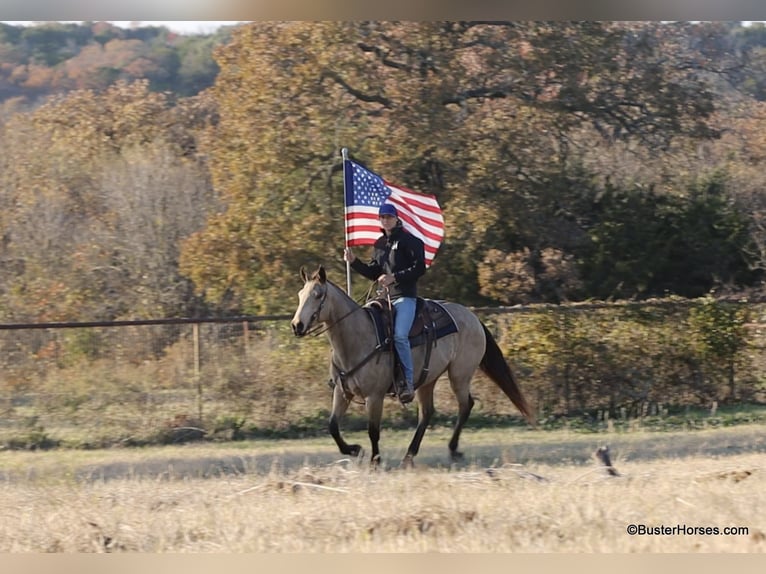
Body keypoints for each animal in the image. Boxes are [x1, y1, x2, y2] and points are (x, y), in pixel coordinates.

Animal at [290, 265, 533, 467]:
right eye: (300, 295)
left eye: (317, 295)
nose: (297, 325)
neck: (358, 338)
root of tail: (472, 317)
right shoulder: (342, 392)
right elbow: (332, 426)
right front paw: (355, 450)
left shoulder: (374, 396)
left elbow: (373, 431)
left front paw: (375, 461)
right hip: (428, 379)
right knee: (427, 413)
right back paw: (409, 455)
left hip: (460, 375)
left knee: (465, 405)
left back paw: (453, 449)